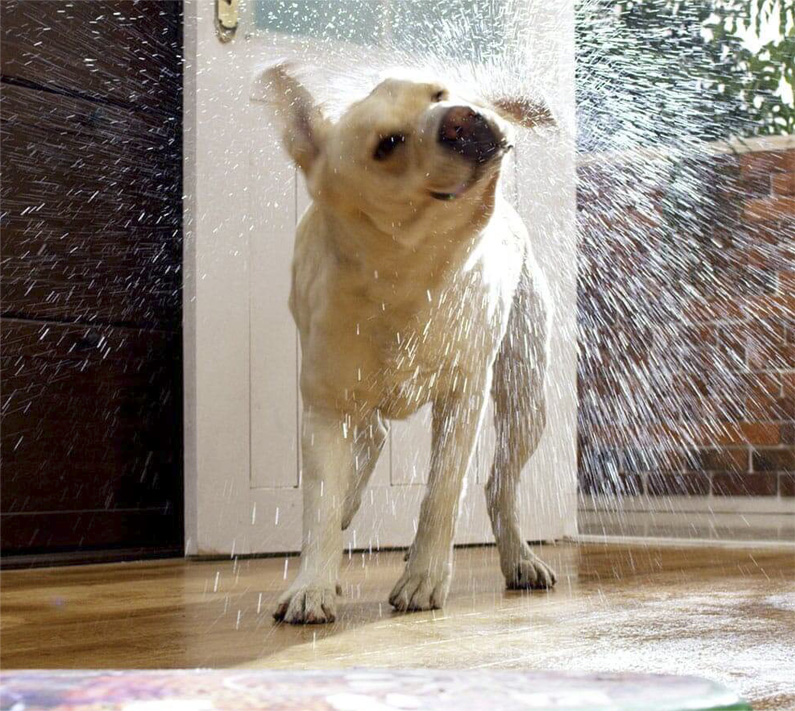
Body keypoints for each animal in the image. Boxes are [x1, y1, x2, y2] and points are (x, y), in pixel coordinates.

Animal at [265, 65, 557, 624]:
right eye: (388, 144)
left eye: (439, 92)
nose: (462, 117)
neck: (408, 275)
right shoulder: (325, 408)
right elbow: (320, 503)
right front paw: (313, 585)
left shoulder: (462, 399)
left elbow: (441, 494)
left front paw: (424, 577)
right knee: (371, 440)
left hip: (526, 399)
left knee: (498, 487)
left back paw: (520, 558)